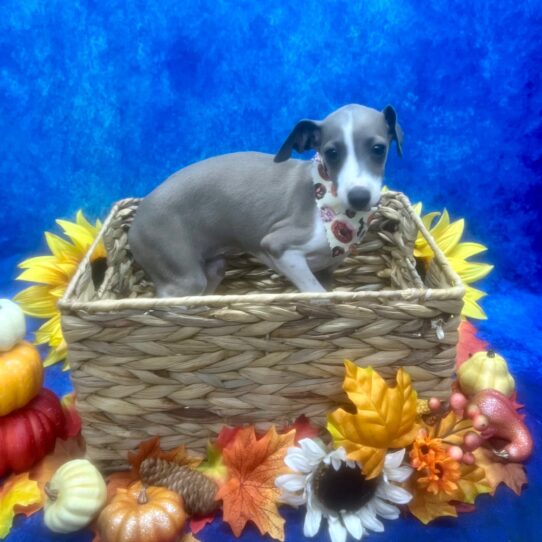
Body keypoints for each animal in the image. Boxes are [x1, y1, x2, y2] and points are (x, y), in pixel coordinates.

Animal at [130, 105, 404, 298]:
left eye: (379, 149)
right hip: (183, 278)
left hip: (213, 268)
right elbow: (314, 291)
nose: (359, 196)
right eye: (331, 153)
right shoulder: (279, 247)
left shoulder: (326, 270)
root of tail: (135, 221)